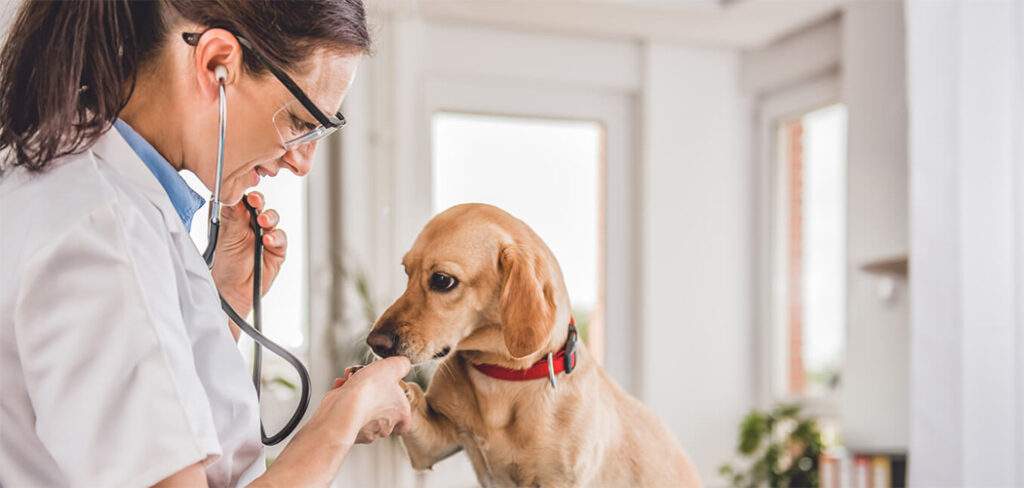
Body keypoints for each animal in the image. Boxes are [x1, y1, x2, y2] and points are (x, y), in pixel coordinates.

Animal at [366, 203, 696, 484]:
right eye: (406, 272)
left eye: (442, 280)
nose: (374, 343)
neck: (502, 378)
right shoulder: (433, 445)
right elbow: (411, 396)